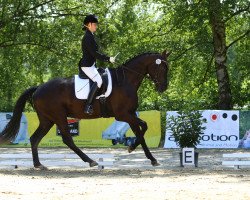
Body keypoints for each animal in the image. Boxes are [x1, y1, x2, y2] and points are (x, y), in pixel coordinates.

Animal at [0, 50, 170, 169]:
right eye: (162, 67)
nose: (163, 88)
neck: (126, 80)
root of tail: (38, 88)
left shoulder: (130, 114)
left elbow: (140, 133)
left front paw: (149, 157)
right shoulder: (122, 115)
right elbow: (144, 126)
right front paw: (133, 148)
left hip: (47, 120)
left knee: (35, 139)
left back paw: (38, 165)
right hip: (59, 116)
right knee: (67, 139)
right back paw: (91, 161)